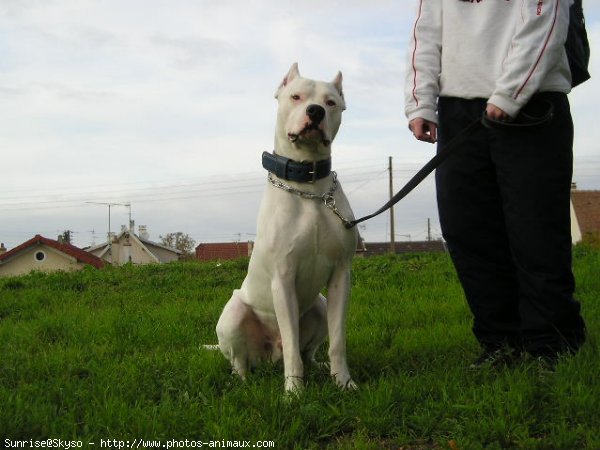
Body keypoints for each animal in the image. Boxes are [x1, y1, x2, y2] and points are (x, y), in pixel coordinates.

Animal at [214, 63, 358, 394]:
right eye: (296, 96)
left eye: (331, 102)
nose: (315, 111)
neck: (309, 186)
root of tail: (269, 353)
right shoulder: (283, 278)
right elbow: (292, 344)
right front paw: (293, 393)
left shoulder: (341, 275)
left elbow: (338, 340)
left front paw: (344, 382)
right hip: (234, 314)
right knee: (241, 361)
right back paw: (242, 382)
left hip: (318, 305)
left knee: (308, 351)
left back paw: (319, 368)